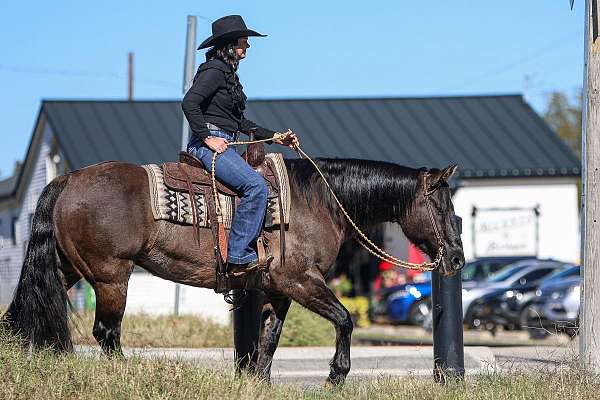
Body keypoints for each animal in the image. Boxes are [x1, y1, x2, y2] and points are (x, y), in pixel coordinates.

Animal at [1, 158, 464, 386]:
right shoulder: (301, 281)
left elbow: (268, 339)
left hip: (66, 268)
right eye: (443, 207)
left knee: (29, 313)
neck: (317, 200)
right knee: (107, 332)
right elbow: (345, 319)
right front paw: (337, 373)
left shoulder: (278, 289)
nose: (457, 259)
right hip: (111, 275)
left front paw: (259, 381)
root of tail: (67, 180)